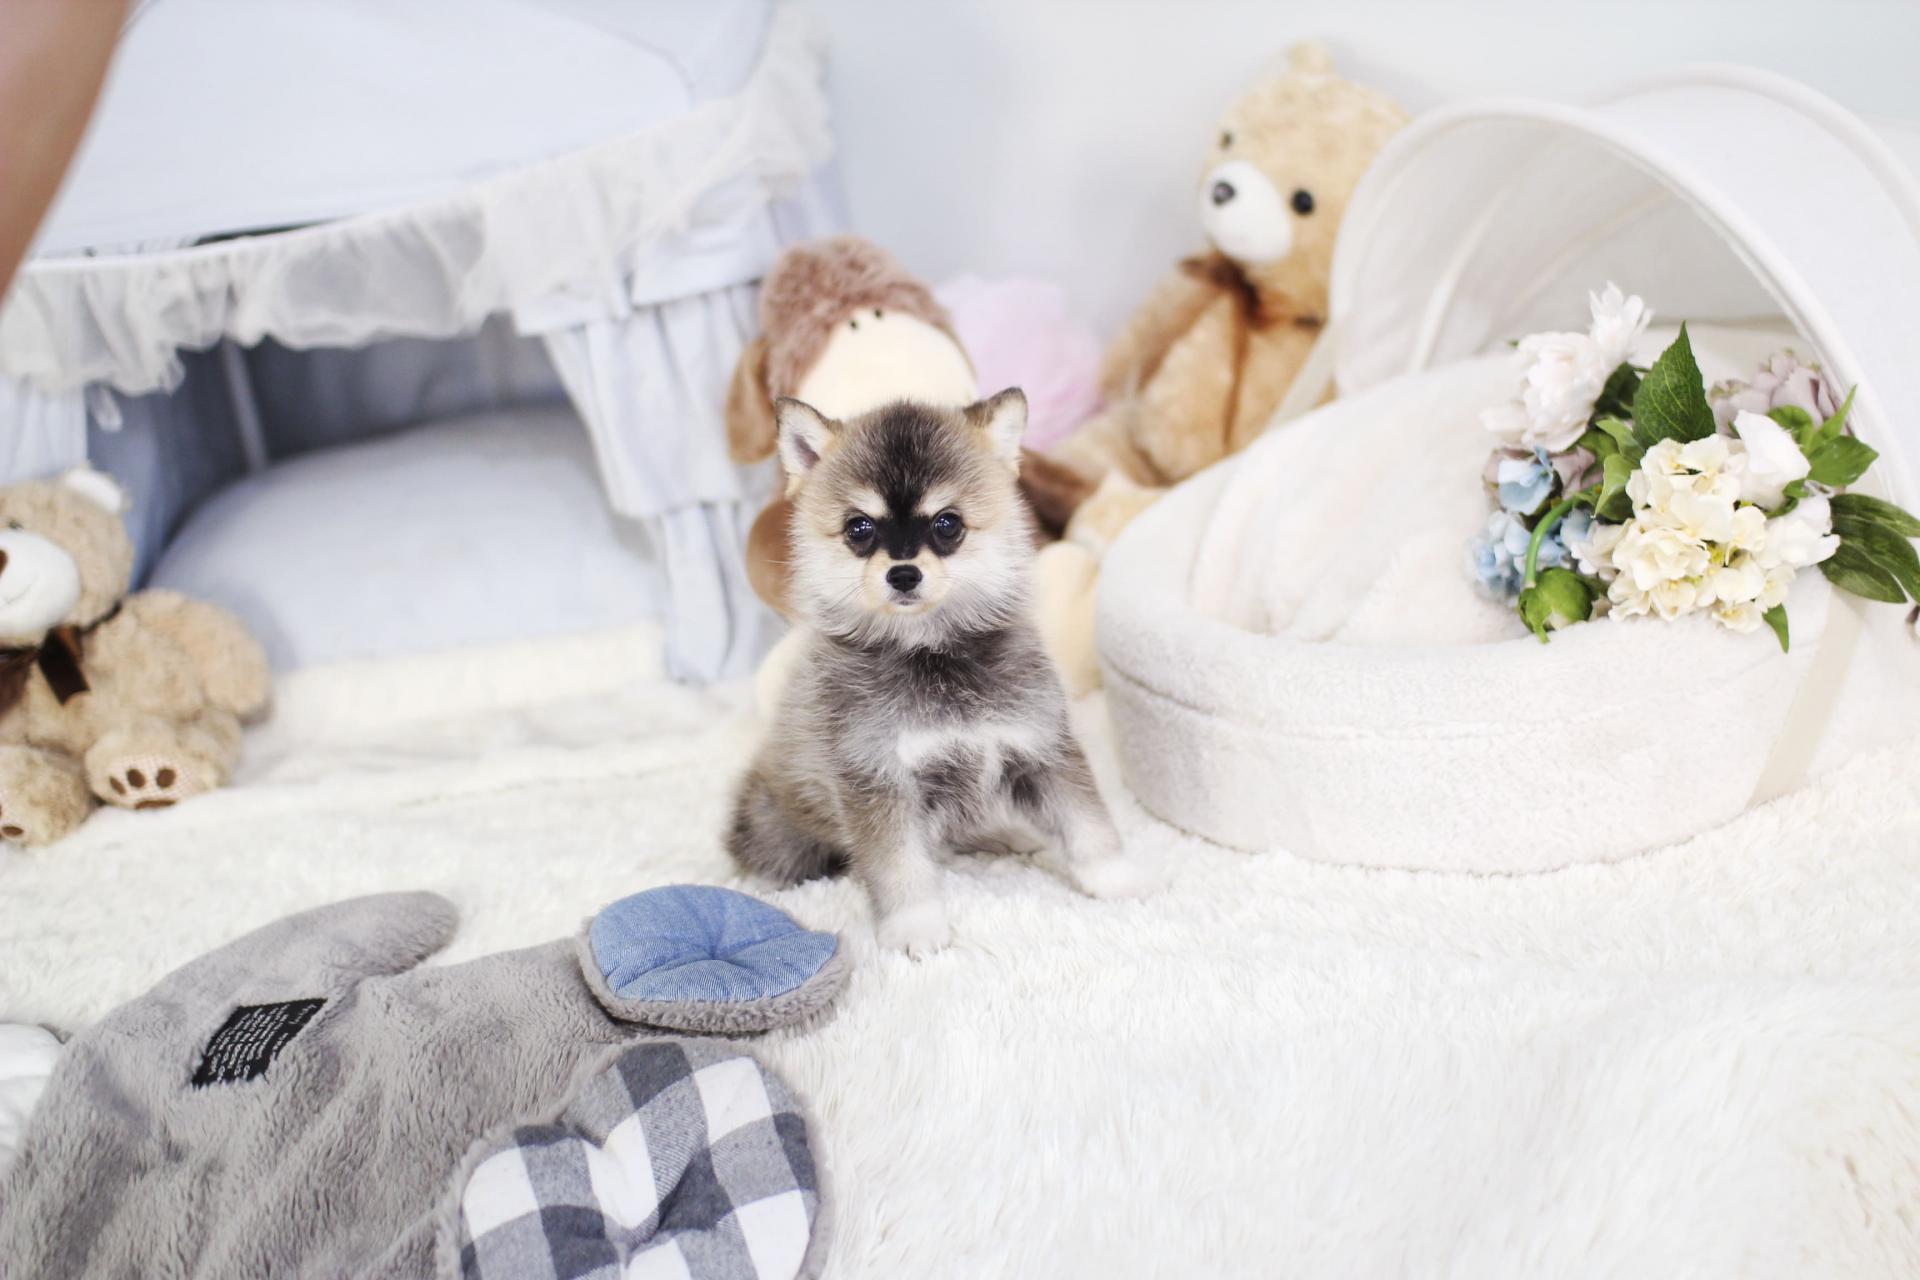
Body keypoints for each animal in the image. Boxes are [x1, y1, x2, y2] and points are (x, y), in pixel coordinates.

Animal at [726, 389, 1156, 955]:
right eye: (859, 528)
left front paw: (1117, 879)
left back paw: (1012, 836)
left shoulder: (1041, 748)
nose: (903, 573)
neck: (931, 653)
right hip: (777, 824)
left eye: (947, 524)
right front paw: (916, 926)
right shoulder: (879, 779)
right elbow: (899, 866)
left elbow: (1088, 824)